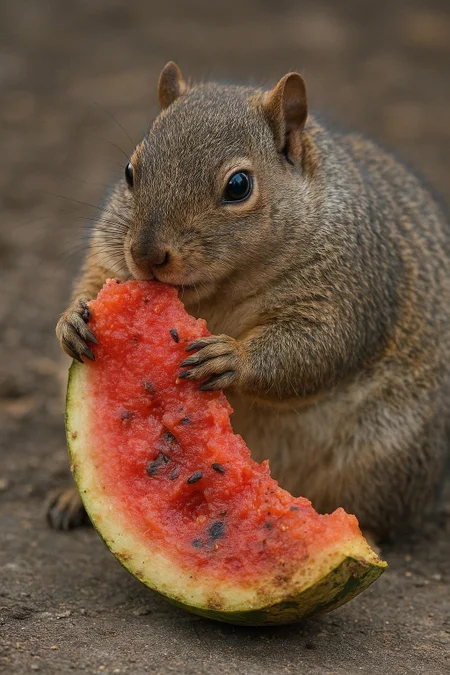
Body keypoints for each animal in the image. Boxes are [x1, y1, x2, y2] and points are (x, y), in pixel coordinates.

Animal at [48, 61, 450, 541]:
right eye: (129, 171)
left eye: (239, 185)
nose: (146, 255)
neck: (218, 290)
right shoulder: (110, 250)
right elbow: (94, 279)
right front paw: (70, 321)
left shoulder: (349, 286)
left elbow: (321, 344)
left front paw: (233, 358)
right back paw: (73, 497)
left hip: (385, 452)